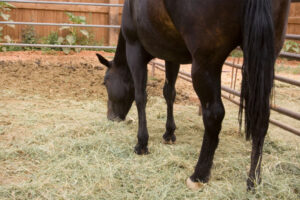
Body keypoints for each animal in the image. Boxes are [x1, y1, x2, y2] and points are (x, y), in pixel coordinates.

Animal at [96, 0, 290, 190]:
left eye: (105, 82)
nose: (111, 117)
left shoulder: (135, 50)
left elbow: (140, 97)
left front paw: (142, 144)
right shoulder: (171, 55)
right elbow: (169, 93)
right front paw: (169, 133)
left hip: (205, 64)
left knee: (214, 115)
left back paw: (199, 175)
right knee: (261, 117)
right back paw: (253, 179)